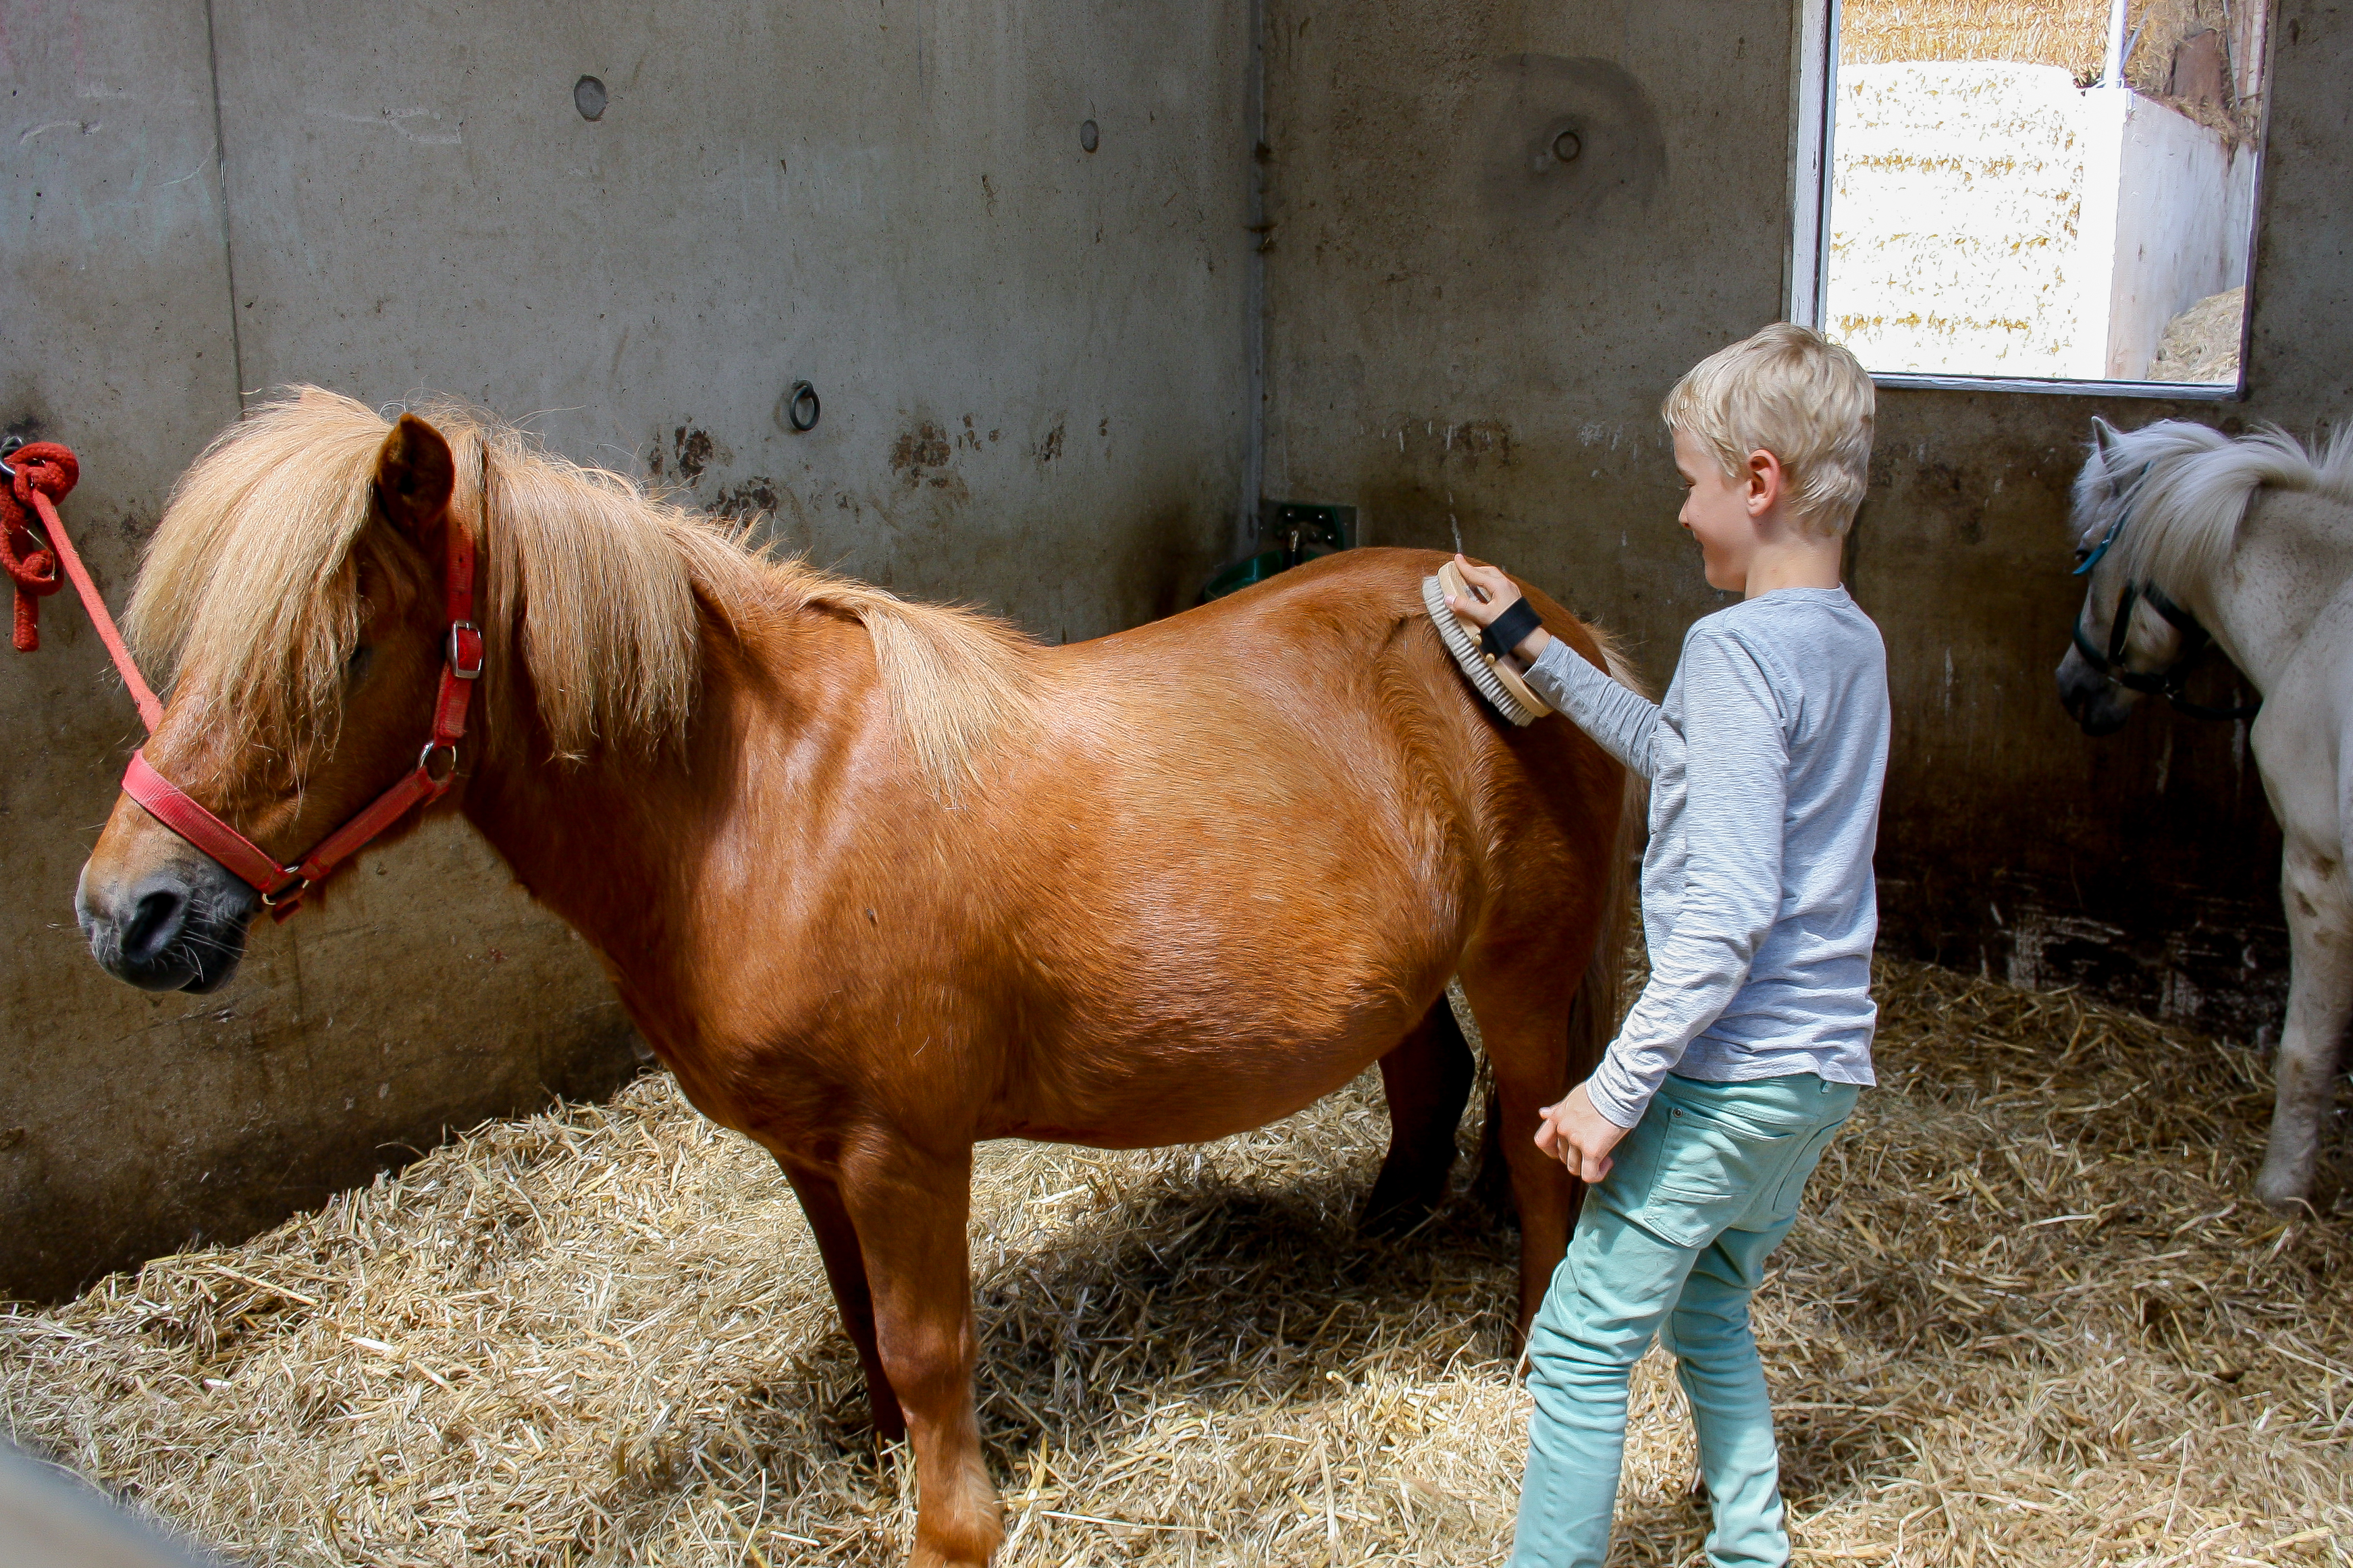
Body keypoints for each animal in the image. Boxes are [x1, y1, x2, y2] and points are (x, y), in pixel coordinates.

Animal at [86, 395, 1637, 1568]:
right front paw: (880, 1449)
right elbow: (858, 1316)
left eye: (350, 651)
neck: (767, 802)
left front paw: (952, 1526)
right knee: (1428, 1080)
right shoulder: (811, 1153)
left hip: (1521, 969)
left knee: (1536, 1143)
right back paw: (1384, 1229)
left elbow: (928, 1339)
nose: (127, 914)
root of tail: (1544, 627)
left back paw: (1524, 1346)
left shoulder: (904, 1150)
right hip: (1412, 978)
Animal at [2061, 421, 2353, 1213]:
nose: (2072, 687)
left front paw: (2281, 1187)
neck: (2315, 609)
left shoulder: (2316, 865)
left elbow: (2305, 1045)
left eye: (2085, 550)